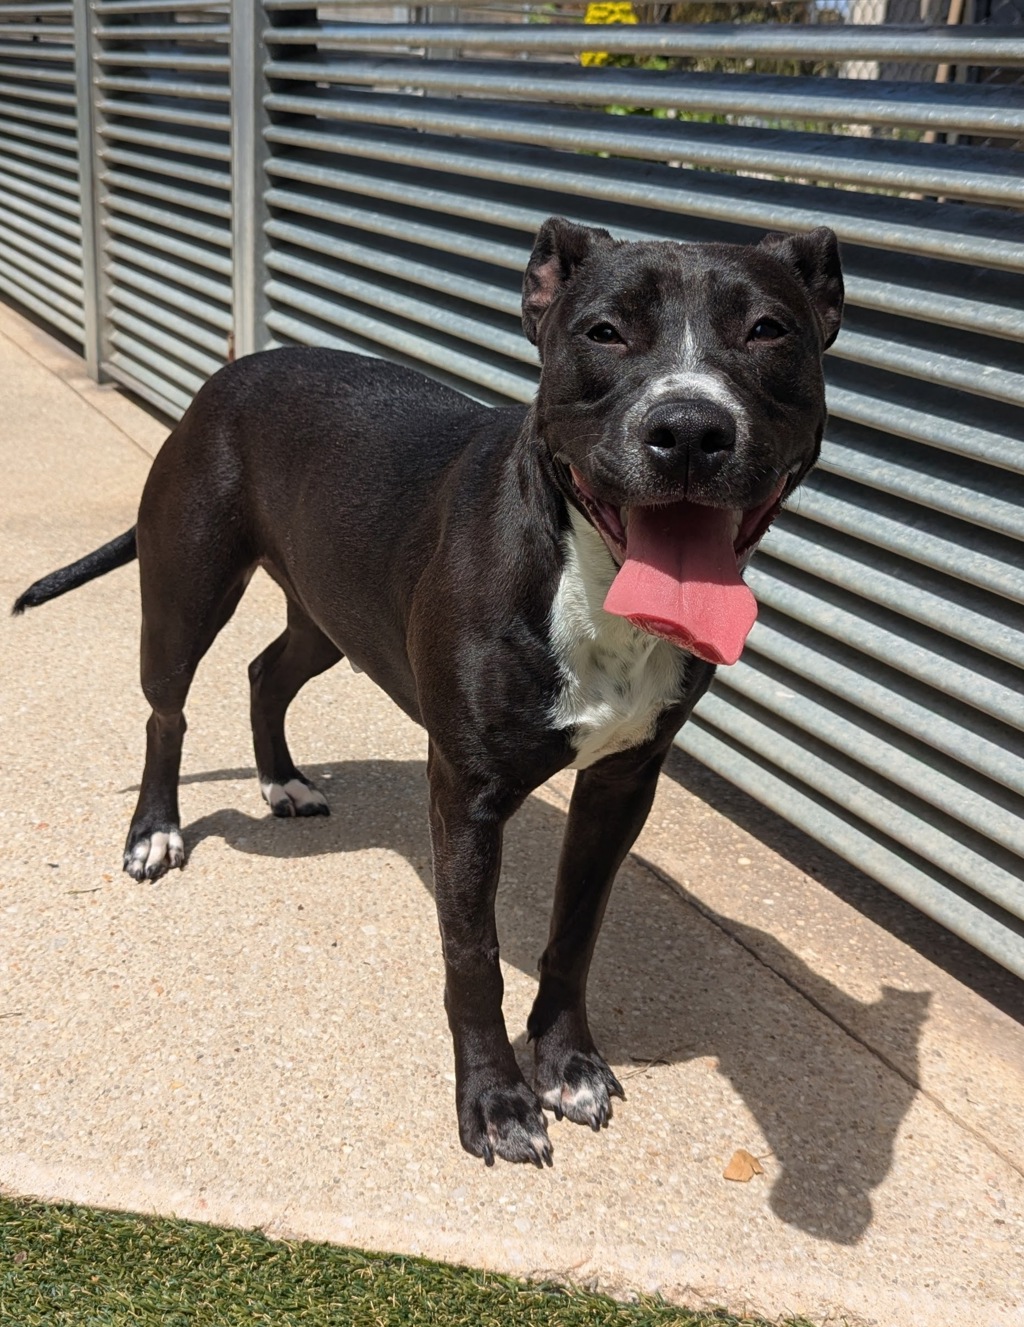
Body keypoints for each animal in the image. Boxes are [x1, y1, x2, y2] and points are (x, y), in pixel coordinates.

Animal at [13, 218, 843, 1166]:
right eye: (604, 332)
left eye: (769, 330)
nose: (692, 428)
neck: (588, 576)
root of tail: (227, 374)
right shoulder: (466, 795)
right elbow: (472, 954)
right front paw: (496, 1101)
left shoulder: (622, 784)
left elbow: (575, 932)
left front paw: (567, 1066)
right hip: (186, 593)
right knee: (167, 712)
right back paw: (155, 831)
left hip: (332, 615)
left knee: (266, 671)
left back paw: (281, 779)